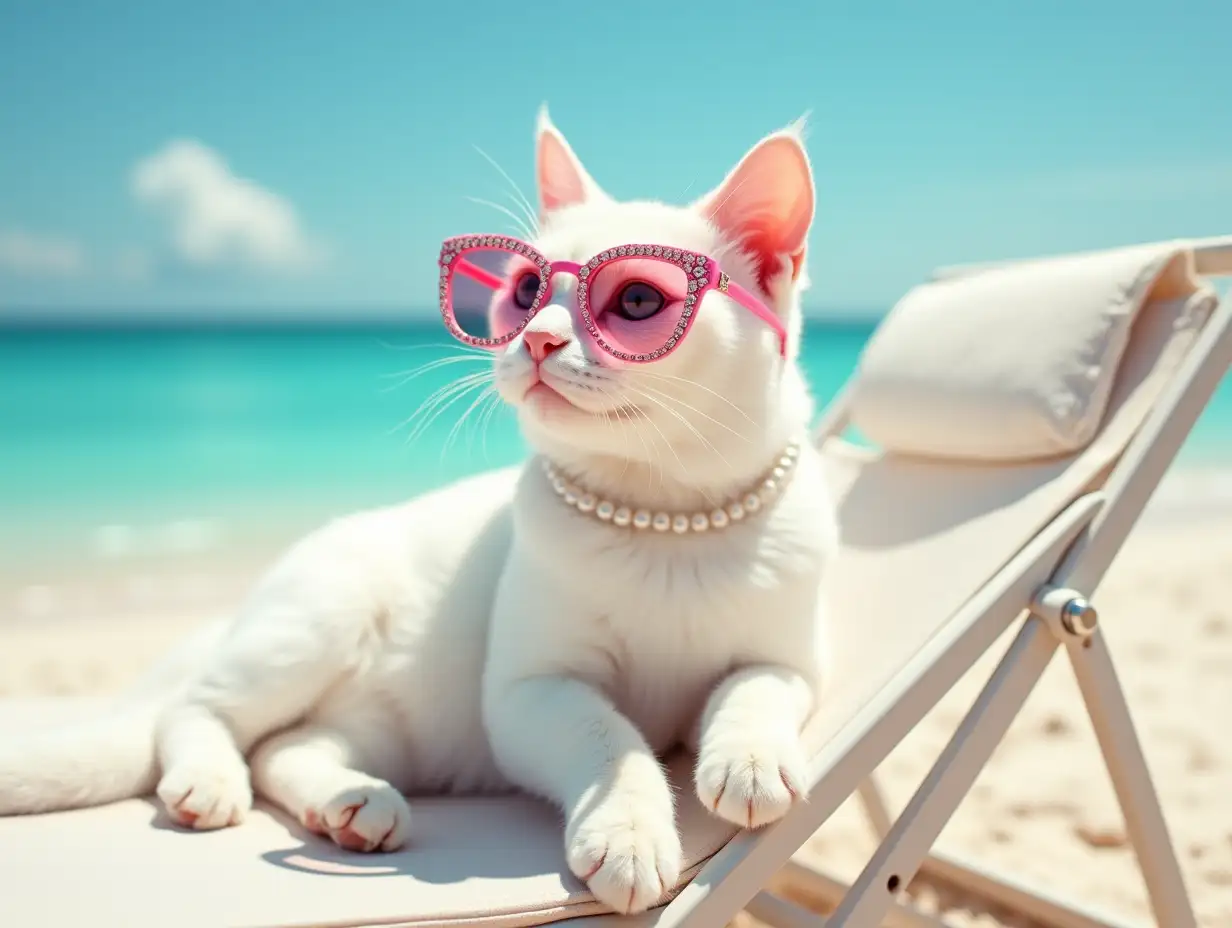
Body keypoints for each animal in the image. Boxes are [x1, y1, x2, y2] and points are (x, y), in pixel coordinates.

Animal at [0, 106, 837, 911]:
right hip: (313, 623)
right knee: (199, 715)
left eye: (635, 299)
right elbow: (613, 741)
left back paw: (351, 805)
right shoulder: (532, 692)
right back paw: (211, 780)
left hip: (389, 727)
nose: (536, 339)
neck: (663, 518)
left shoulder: (788, 661)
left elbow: (754, 689)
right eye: (526, 291)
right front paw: (626, 830)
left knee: (286, 747)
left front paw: (750, 759)